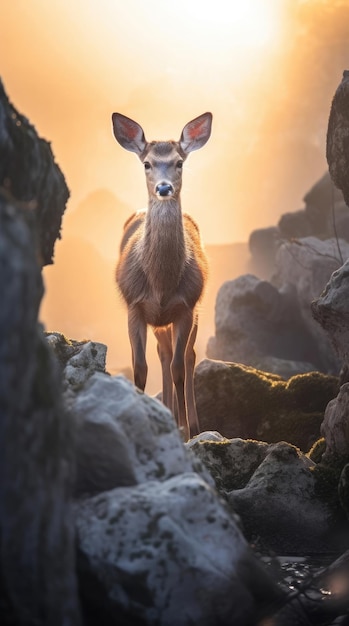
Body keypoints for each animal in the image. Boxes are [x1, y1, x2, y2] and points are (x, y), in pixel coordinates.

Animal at [111, 109, 211, 436]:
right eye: (147, 163)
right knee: (163, 353)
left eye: (179, 162)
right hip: (157, 321)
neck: (161, 284)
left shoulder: (186, 306)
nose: (164, 187)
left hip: (194, 310)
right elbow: (139, 368)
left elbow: (179, 367)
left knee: (187, 357)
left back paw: (190, 424)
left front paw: (188, 433)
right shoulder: (135, 306)